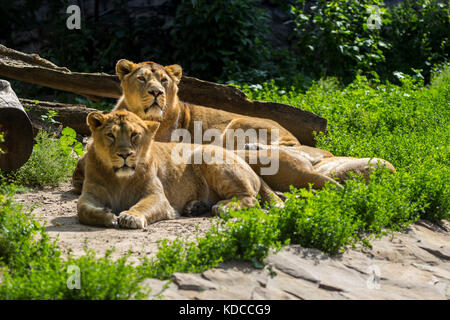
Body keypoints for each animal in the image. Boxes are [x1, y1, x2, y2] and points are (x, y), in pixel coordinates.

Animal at [77, 109, 282, 228]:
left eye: (134, 135)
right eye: (111, 135)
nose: (124, 155)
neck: (119, 179)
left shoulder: (157, 197)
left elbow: (142, 205)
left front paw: (130, 217)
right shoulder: (91, 193)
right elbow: (82, 209)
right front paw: (106, 215)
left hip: (208, 154)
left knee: (250, 199)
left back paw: (223, 207)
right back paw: (195, 207)